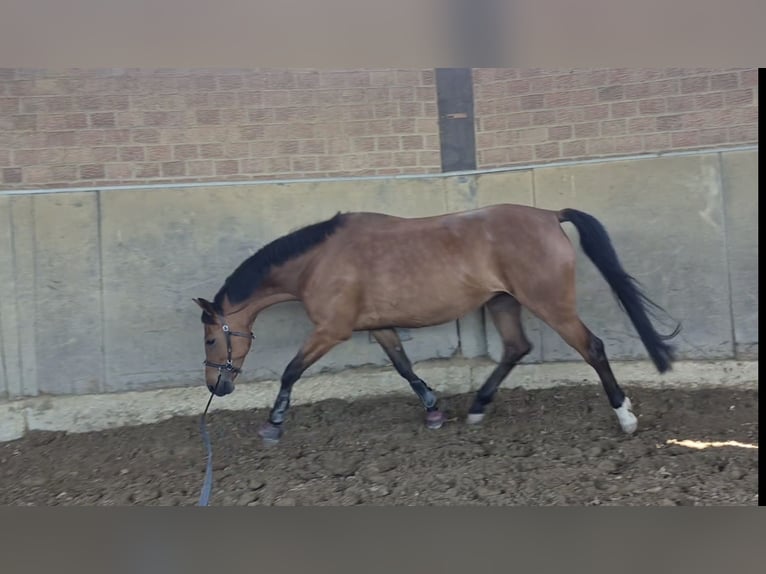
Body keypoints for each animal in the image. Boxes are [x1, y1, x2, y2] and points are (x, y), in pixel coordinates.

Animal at [194, 203, 680, 444]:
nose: (217, 386)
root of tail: (549, 216)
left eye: (211, 339)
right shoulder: (378, 326)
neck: (318, 260)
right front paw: (432, 409)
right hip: (503, 303)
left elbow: (291, 370)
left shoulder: (332, 330)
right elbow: (404, 367)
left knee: (592, 348)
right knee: (516, 348)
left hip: (549, 304)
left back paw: (625, 418)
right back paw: (478, 408)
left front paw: (273, 424)